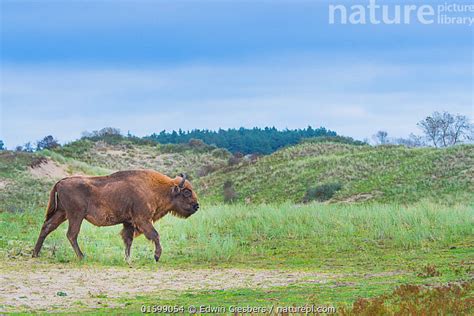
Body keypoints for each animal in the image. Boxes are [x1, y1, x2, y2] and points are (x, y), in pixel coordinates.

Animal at [31, 170, 198, 262]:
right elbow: (155, 235)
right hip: (75, 215)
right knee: (71, 234)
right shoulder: (142, 220)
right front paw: (157, 256)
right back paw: (82, 257)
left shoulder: (129, 222)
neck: (156, 188)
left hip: (62, 213)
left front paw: (127, 259)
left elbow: (128, 240)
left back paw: (35, 254)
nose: (196, 206)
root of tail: (60, 182)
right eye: (186, 192)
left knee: (47, 228)